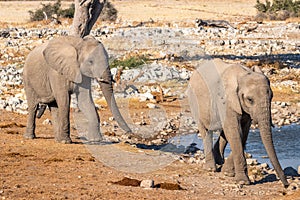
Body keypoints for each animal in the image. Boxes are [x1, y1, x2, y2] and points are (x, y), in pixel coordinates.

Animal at [188, 58, 288, 187]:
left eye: (272, 97)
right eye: (250, 99)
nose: (286, 185)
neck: (243, 74)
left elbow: (242, 133)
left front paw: (227, 173)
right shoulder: (226, 100)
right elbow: (235, 132)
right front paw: (242, 181)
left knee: (224, 132)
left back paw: (220, 162)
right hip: (194, 101)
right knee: (206, 131)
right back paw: (211, 168)